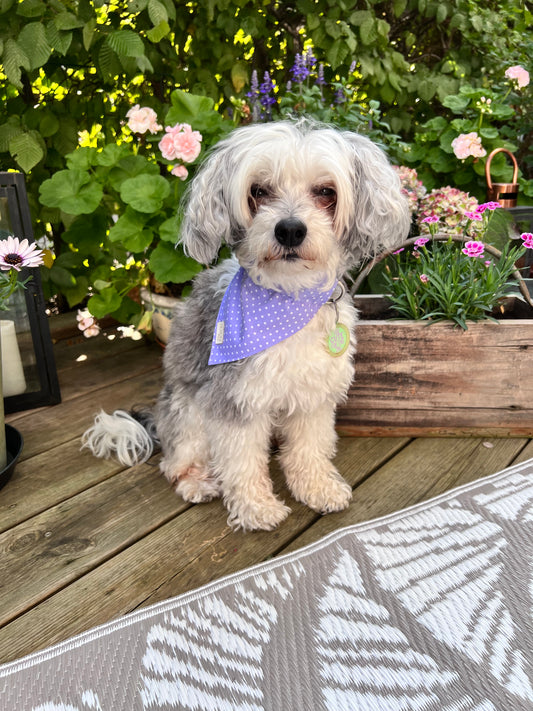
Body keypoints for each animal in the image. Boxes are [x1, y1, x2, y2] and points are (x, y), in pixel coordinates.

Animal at [83, 119, 410, 532]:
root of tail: (157, 418)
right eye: (258, 191)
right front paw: (257, 508)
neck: (287, 299)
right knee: (175, 462)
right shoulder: (234, 399)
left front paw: (317, 488)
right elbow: (242, 461)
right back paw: (196, 482)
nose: (290, 230)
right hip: (189, 414)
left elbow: (309, 448)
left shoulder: (313, 396)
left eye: (325, 192)